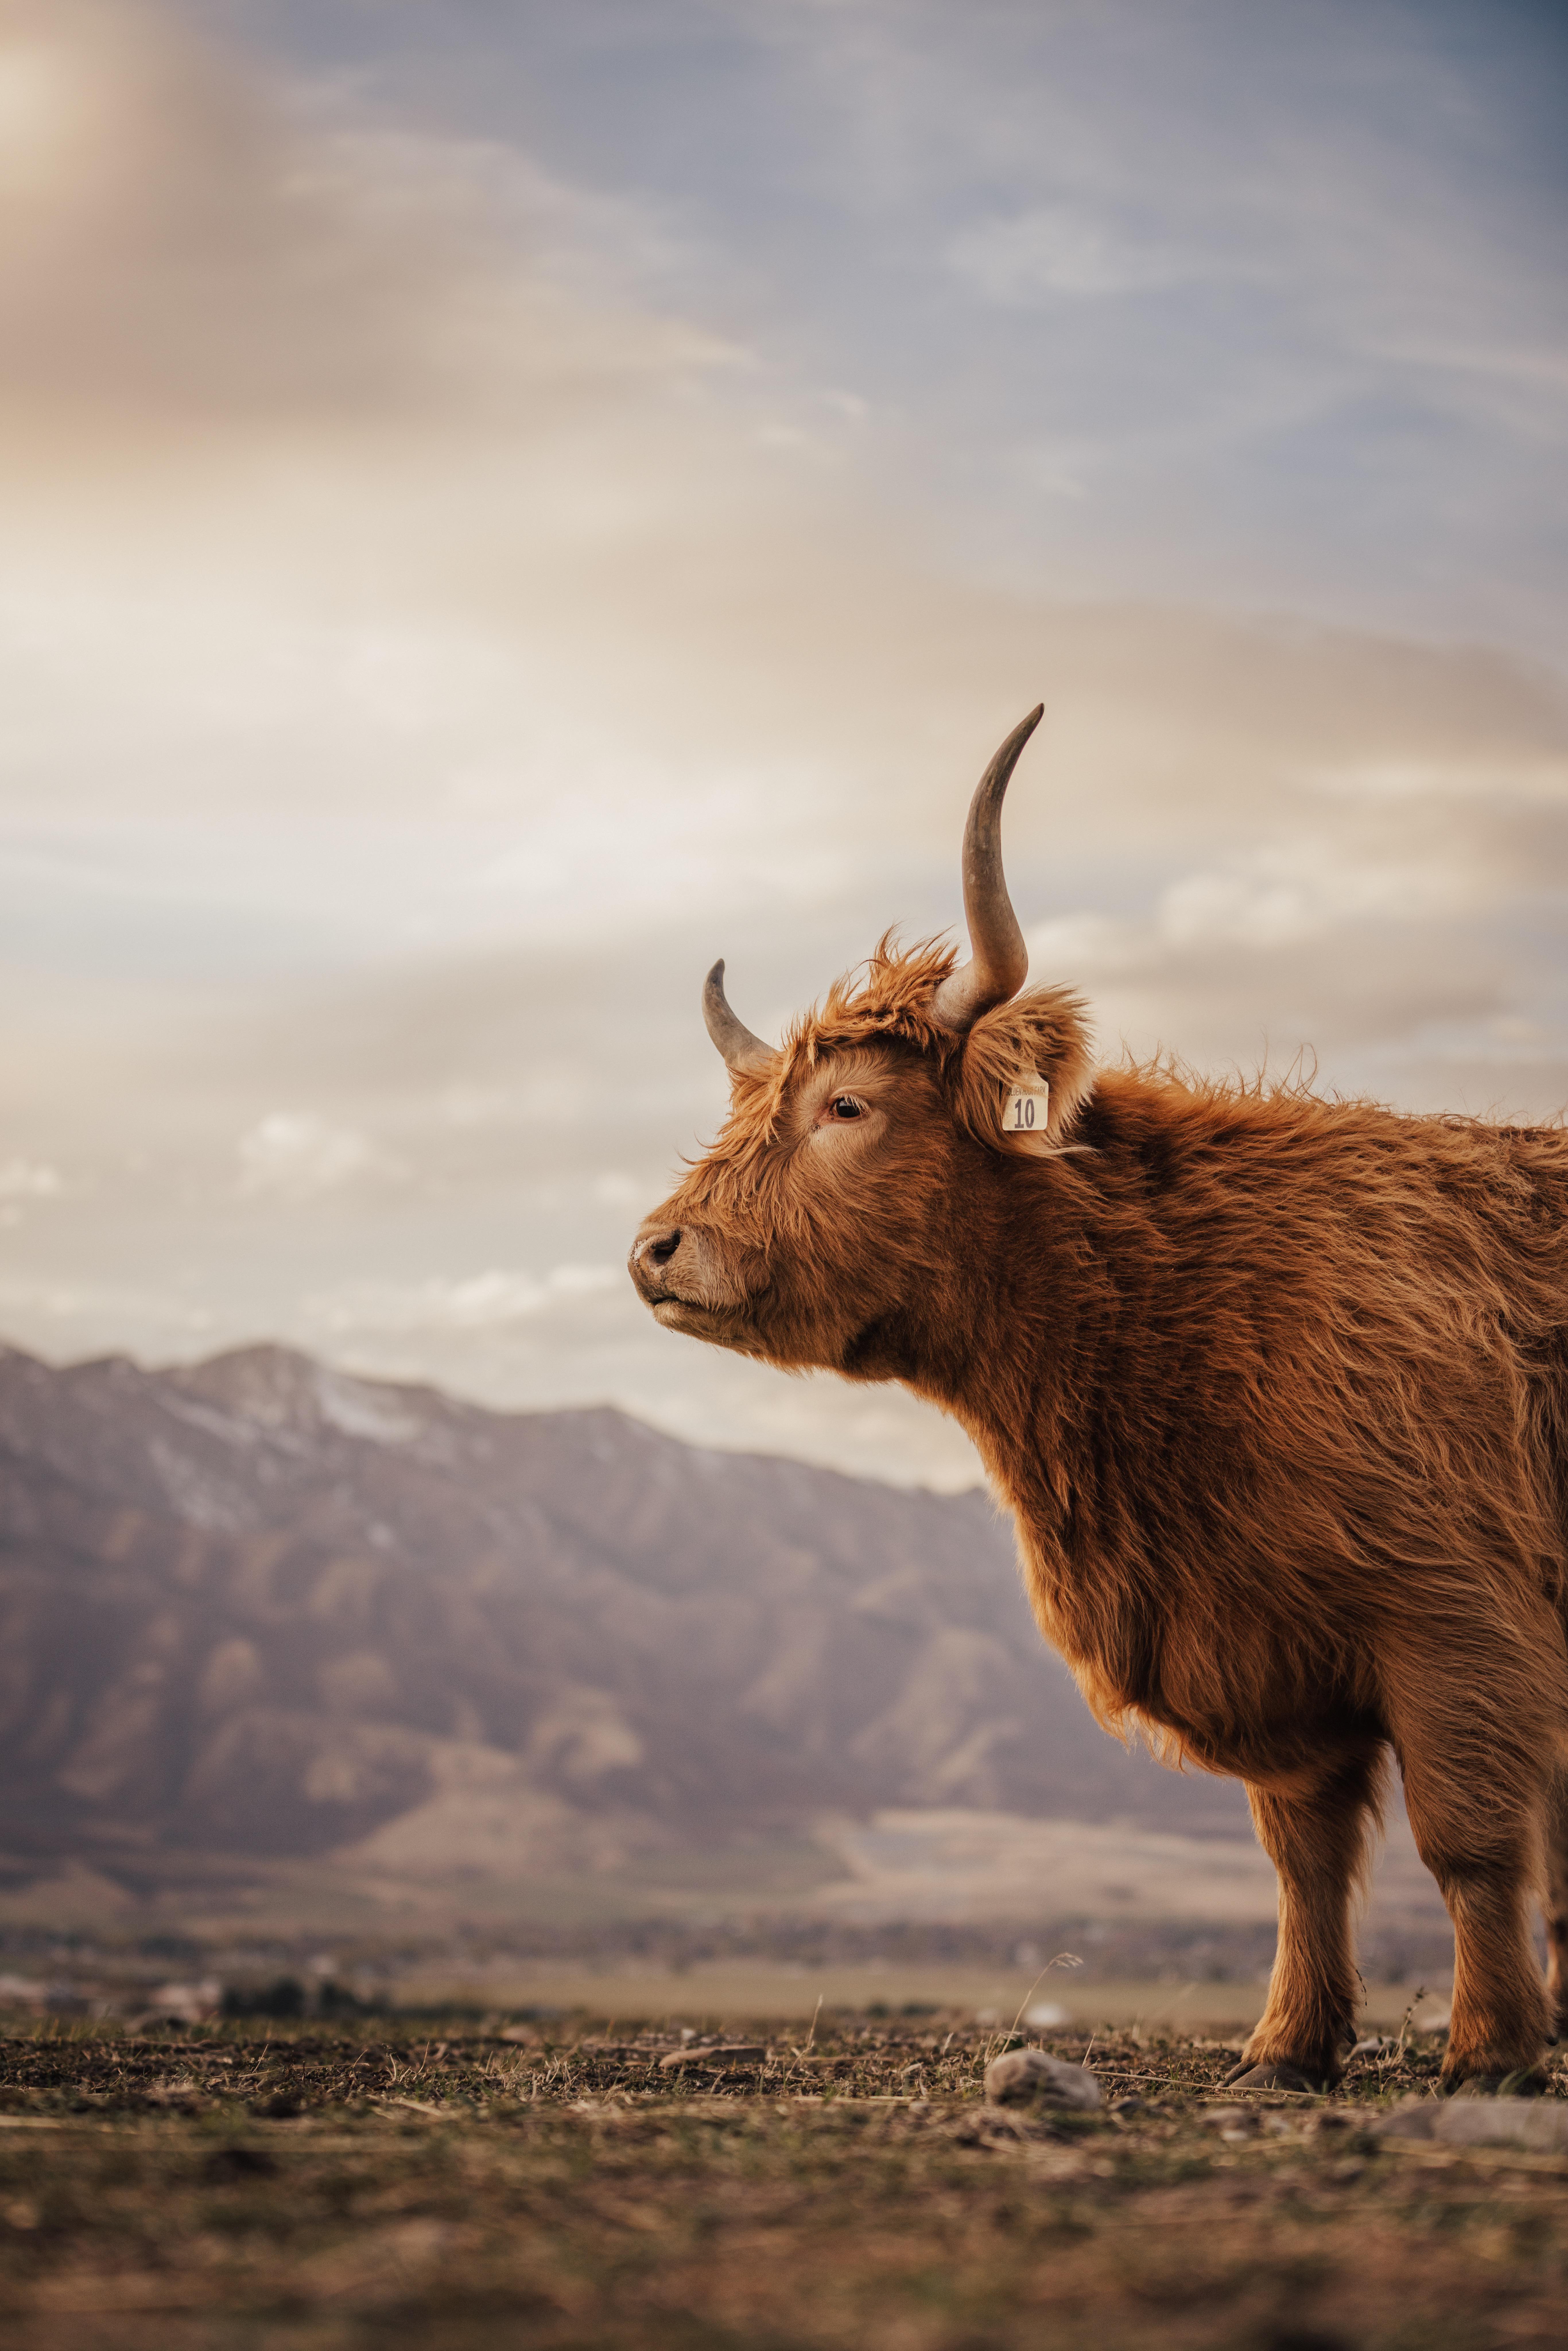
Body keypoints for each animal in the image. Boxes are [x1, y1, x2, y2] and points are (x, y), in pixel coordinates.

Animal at [629, 707, 1568, 2092]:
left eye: (847, 1104)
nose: (656, 1249)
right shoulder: (1260, 1645)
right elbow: (1300, 1857)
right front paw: (1285, 2045)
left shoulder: (1457, 1620)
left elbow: (1470, 1842)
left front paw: (1489, 2049)